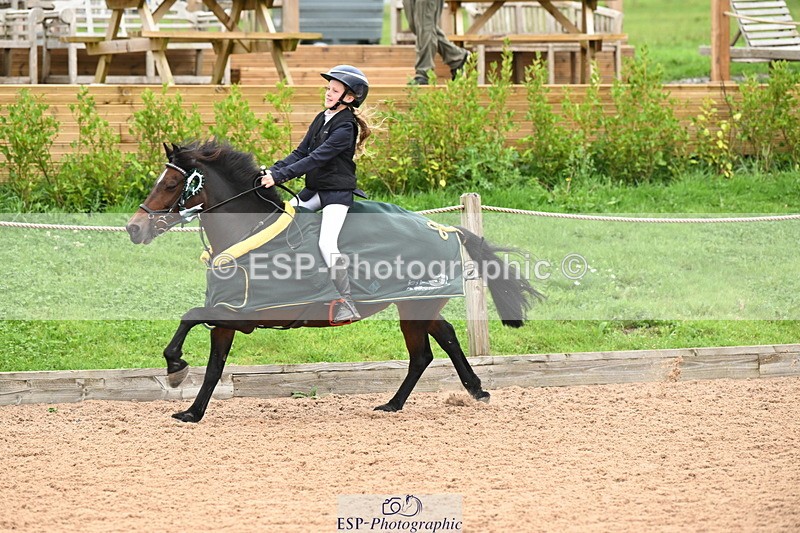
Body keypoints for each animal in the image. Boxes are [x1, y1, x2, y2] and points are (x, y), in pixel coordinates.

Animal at [125, 140, 541, 423]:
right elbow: (214, 365)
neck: (249, 232)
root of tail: (444, 227)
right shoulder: (228, 314)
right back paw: (457, 393)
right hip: (416, 303)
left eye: (170, 184)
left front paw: (175, 369)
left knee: (425, 351)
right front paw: (192, 411)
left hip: (416, 303)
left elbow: (189, 316)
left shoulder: (245, 314)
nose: (133, 228)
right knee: (439, 342)